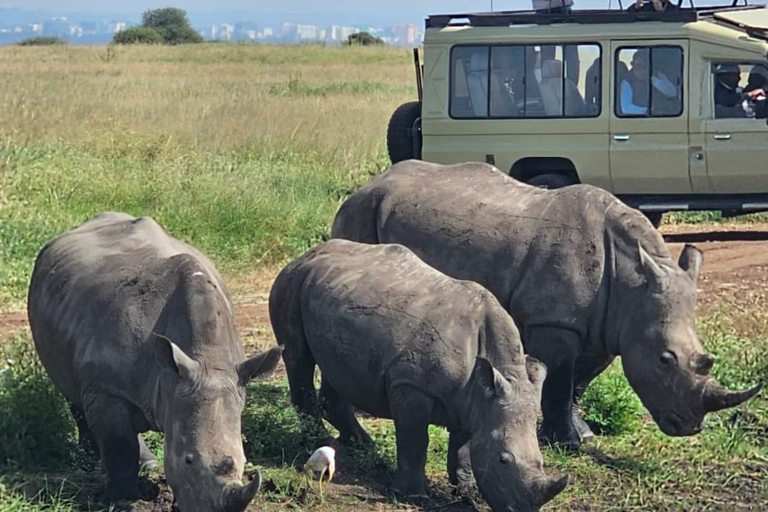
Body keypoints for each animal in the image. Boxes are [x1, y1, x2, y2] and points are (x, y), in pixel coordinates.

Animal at [27, 212, 286, 512]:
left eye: (244, 462)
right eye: (188, 460)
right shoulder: (105, 385)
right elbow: (119, 445)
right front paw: (122, 499)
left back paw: (147, 464)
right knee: (72, 390)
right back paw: (90, 458)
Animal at [270, 240, 568, 512]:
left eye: (542, 462)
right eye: (503, 460)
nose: (523, 510)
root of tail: (307, 254)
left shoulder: (473, 399)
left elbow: (463, 446)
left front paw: (466, 491)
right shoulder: (411, 384)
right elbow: (415, 439)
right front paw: (413, 496)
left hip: (330, 292)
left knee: (336, 364)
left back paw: (361, 444)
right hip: (291, 282)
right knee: (298, 355)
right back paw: (318, 440)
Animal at [330, 159, 760, 448]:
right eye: (665, 359)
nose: (689, 427)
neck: (632, 281)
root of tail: (371, 183)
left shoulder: (608, 325)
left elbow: (579, 383)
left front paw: (583, 436)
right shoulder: (556, 323)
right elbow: (558, 381)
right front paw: (566, 442)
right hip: (360, 213)